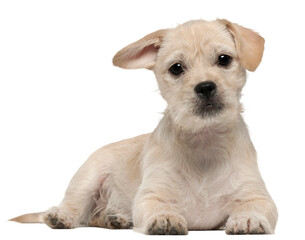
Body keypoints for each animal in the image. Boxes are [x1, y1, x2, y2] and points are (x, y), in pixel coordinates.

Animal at [11, 18, 278, 234]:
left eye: (224, 59)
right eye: (176, 68)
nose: (205, 87)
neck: (204, 141)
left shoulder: (258, 196)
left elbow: (256, 206)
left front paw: (248, 218)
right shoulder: (150, 195)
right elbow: (156, 206)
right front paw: (165, 217)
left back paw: (115, 218)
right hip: (87, 179)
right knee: (75, 207)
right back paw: (61, 216)